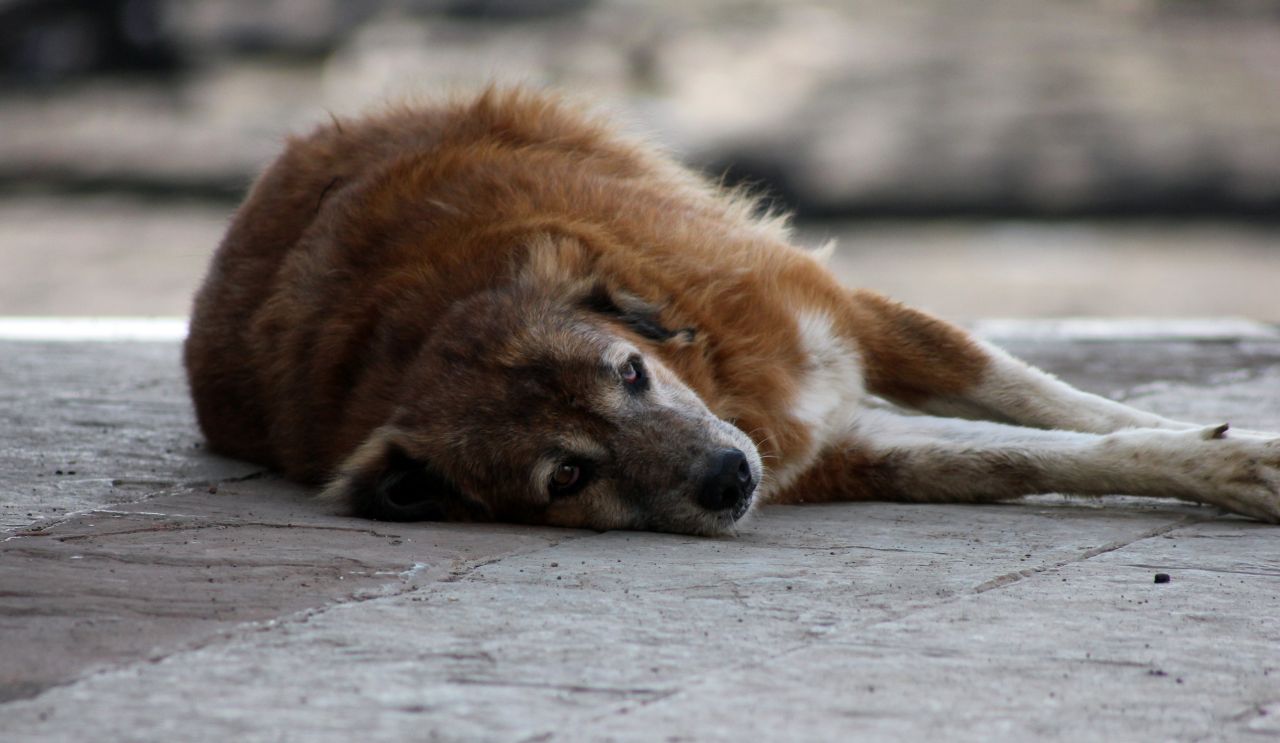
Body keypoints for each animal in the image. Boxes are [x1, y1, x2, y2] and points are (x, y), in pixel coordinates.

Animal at [185, 89, 1280, 538]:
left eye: (629, 372)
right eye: (565, 474)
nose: (726, 477)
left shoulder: (846, 316)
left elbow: (1059, 403)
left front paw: (1226, 440)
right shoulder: (844, 456)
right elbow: (1025, 457)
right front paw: (1221, 463)